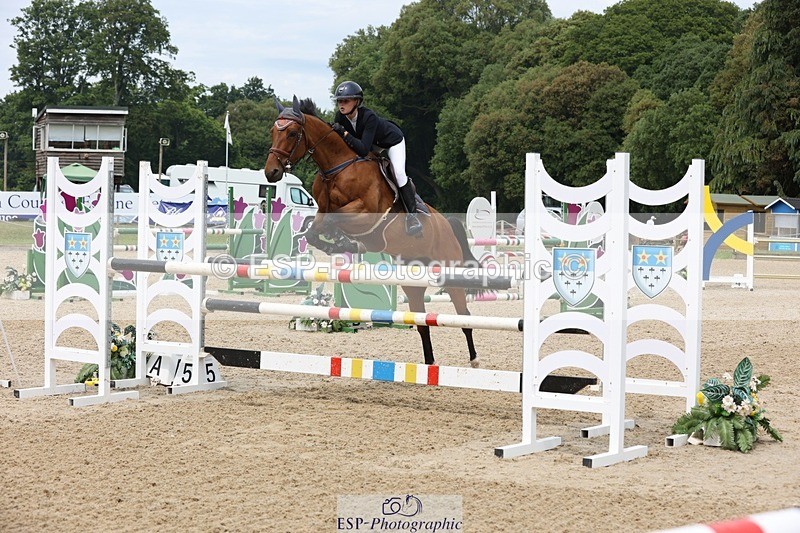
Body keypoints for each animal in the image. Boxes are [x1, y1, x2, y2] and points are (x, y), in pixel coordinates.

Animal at [264, 96, 480, 368]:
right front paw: (339, 244)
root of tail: (446, 224)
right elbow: (314, 231)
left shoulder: (365, 214)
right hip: (412, 281)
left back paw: (474, 360)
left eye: (292, 133)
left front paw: (344, 242)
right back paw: (430, 366)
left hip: (449, 274)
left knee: (464, 315)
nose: (270, 172)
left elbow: (334, 222)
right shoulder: (323, 211)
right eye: (273, 131)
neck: (336, 169)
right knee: (422, 322)